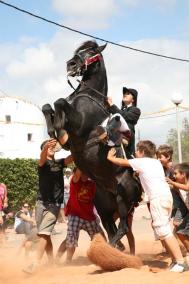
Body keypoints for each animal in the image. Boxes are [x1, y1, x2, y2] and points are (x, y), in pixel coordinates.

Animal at [41, 41, 142, 247]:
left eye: (91, 52)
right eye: (78, 51)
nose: (71, 64)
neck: (88, 95)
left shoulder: (79, 124)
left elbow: (60, 102)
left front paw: (57, 131)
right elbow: (48, 106)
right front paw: (54, 132)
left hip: (123, 200)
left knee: (122, 229)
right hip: (105, 207)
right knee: (113, 231)